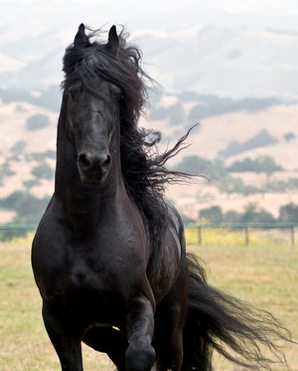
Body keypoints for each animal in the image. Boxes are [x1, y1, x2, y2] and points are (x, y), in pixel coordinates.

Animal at [32, 24, 292, 370]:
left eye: (117, 96)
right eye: (71, 93)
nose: (95, 163)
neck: (84, 228)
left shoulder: (139, 304)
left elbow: (141, 354)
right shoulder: (59, 318)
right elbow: (100, 350)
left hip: (171, 319)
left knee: (168, 356)